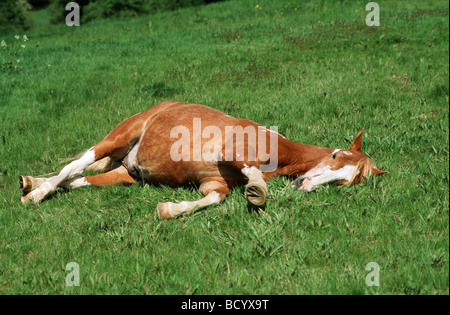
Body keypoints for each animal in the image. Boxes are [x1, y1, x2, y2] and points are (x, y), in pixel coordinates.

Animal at [20, 101, 386, 220]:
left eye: (347, 181)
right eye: (336, 155)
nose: (305, 184)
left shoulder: (213, 182)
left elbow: (212, 199)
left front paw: (168, 209)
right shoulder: (229, 152)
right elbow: (253, 174)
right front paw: (257, 189)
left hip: (127, 173)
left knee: (78, 180)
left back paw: (31, 183)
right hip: (118, 137)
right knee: (74, 166)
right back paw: (35, 193)